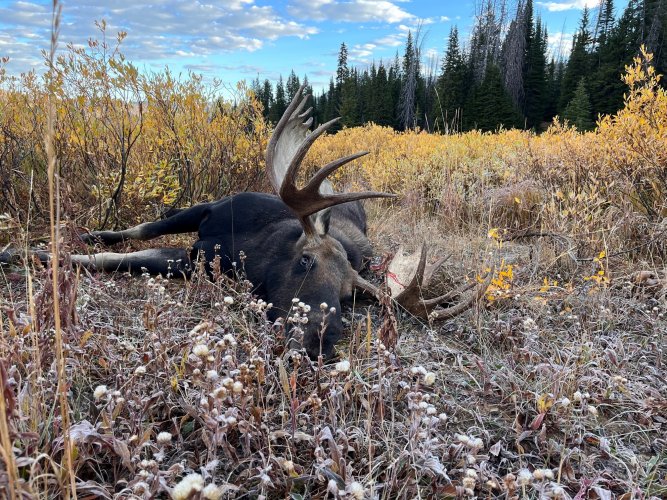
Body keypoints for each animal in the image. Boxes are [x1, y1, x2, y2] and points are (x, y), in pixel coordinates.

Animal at [1, 85, 491, 359]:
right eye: (306, 261)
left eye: (350, 296)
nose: (318, 340)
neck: (255, 249)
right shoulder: (209, 209)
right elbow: (131, 236)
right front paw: (25, 248)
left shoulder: (198, 259)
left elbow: (120, 258)